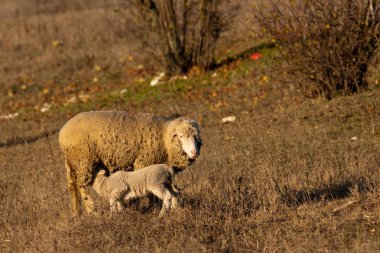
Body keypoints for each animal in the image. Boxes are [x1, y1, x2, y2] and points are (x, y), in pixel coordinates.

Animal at [58, 111, 202, 215]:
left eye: (196, 137)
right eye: (181, 136)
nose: (194, 152)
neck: (164, 137)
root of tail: (63, 132)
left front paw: (174, 207)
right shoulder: (145, 163)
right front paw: (152, 207)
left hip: (72, 163)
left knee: (73, 186)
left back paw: (77, 212)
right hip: (83, 160)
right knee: (81, 186)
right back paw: (91, 210)